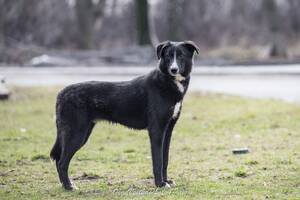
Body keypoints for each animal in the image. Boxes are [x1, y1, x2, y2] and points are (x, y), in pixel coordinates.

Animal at [49, 40, 199, 189]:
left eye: (181, 56)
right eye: (168, 56)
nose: (173, 69)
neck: (167, 82)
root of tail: (61, 93)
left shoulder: (167, 130)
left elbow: (165, 159)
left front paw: (166, 181)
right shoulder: (156, 130)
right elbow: (158, 161)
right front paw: (160, 184)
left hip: (82, 133)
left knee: (59, 160)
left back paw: (65, 185)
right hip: (76, 134)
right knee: (62, 162)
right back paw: (69, 187)